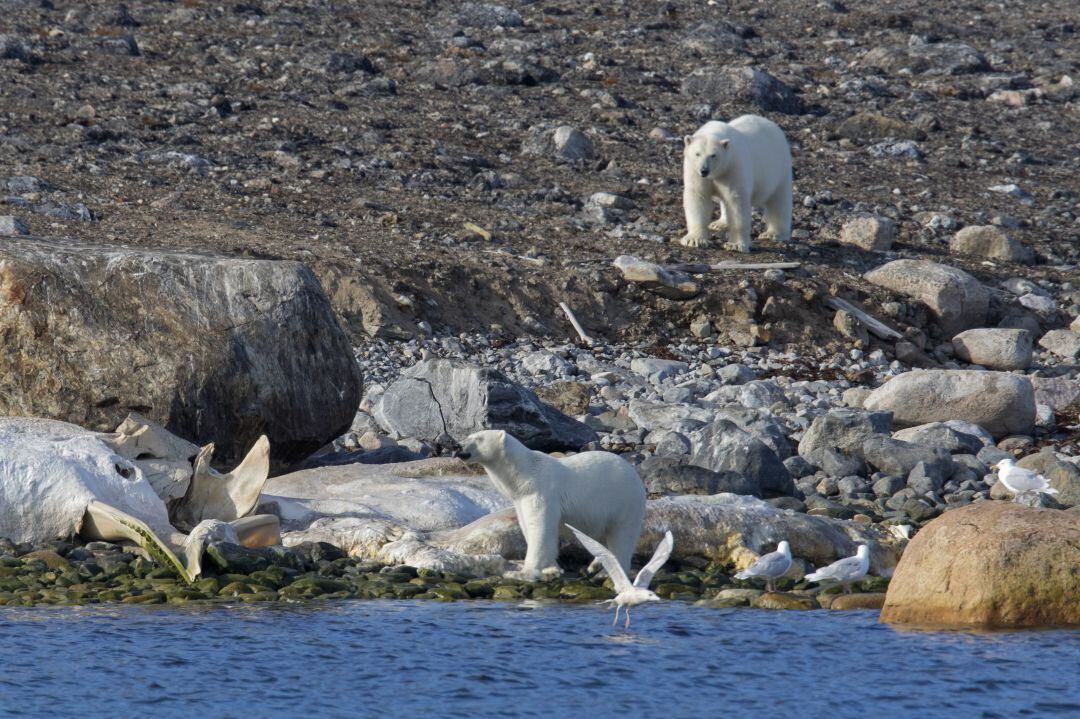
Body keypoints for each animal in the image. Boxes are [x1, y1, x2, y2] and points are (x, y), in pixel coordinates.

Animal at [453, 427, 639, 578]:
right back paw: (594, 565)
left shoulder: (542, 491)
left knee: (622, 536)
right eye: (468, 435)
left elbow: (539, 526)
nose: (457, 446)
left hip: (623, 502)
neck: (524, 475)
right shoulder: (521, 499)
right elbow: (526, 525)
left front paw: (523, 572)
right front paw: (552, 569)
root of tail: (634, 473)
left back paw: (608, 572)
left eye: (478, 438)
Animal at [673, 113, 794, 251]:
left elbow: (736, 201)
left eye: (713, 155)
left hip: (779, 169)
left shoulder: (733, 167)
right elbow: (699, 197)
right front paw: (694, 240)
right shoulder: (694, 172)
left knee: (779, 201)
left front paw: (735, 245)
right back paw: (719, 223)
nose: (704, 170)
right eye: (697, 153)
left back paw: (773, 234)